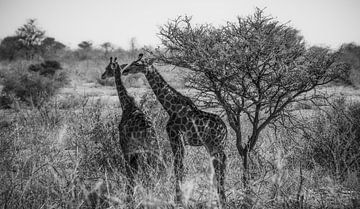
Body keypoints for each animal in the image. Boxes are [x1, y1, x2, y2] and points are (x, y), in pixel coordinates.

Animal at [100, 56, 160, 206]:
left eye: (107, 68)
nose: (102, 75)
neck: (126, 104)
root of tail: (149, 131)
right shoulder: (135, 150)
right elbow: (134, 172)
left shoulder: (125, 146)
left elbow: (129, 172)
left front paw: (129, 198)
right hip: (154, 149)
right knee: (153, 170)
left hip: (145, 149)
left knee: (148, 171)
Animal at [122, 54, 226, 207]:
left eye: (138, 64)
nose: (125, 70)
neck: (170, 108)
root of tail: (226, 130)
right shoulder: (178, 140)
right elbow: (179, 166)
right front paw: (178, 198)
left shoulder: (176, 137)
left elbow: (178, 166)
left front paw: (178, 199)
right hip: (213, 146)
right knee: (220, 166)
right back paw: (221, 197)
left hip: (215, 145)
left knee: (220, 166)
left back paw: (221, 198)